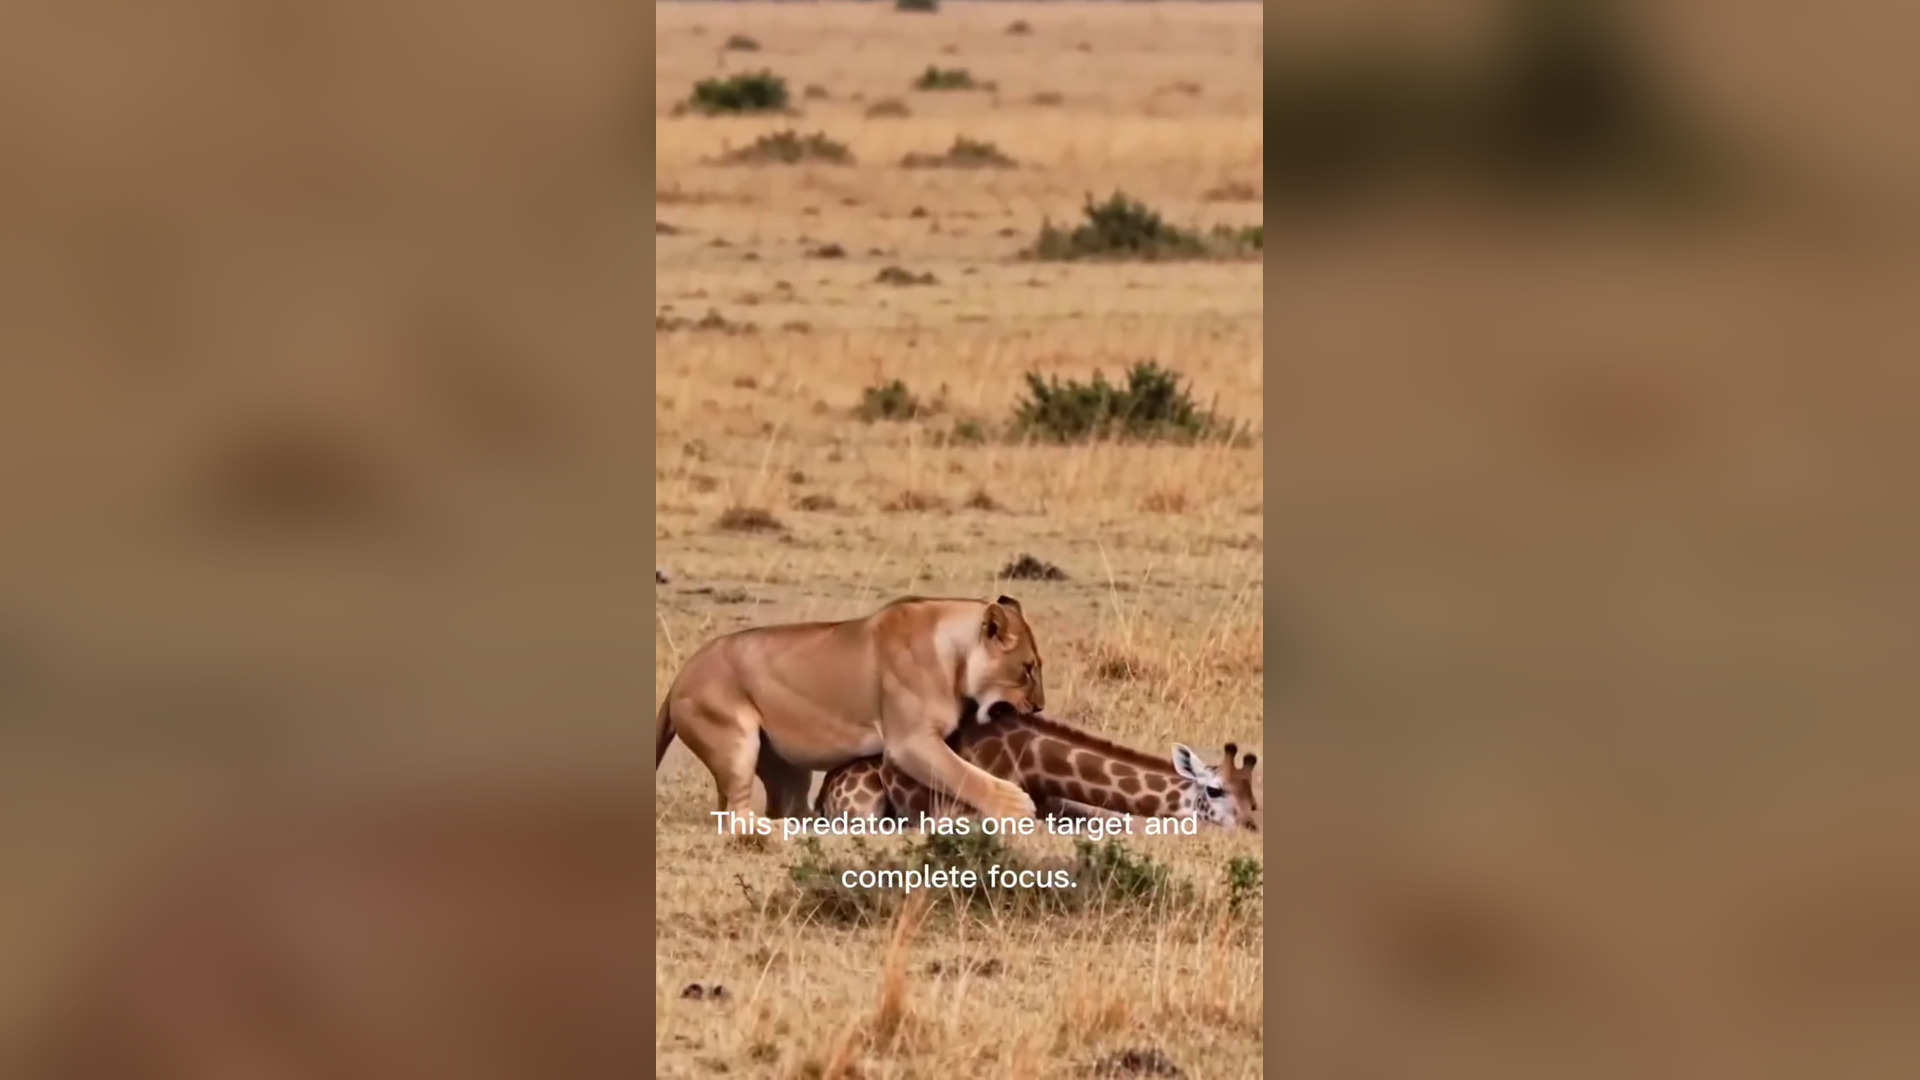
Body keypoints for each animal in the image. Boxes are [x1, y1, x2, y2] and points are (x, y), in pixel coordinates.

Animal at [654, 595, 1046, 821]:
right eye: (1027, 669)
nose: (1041, 707)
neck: (956, 653)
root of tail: (679, 678)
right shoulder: (910, 742)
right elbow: (964, 775)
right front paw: (1017, 805)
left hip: (786, 767)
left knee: (784, 806)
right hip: (735, 743)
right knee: (734, 813)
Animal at [813, 709, 1261, 831]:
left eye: (1252, 794)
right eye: (1215, 790)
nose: (1250, 825)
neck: (1033, 761)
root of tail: (824, 790)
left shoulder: (1054, 804)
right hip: (861, 806)